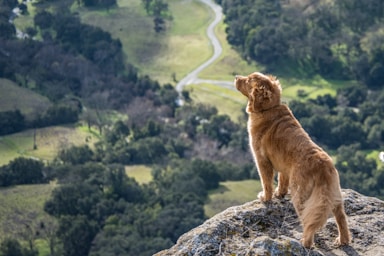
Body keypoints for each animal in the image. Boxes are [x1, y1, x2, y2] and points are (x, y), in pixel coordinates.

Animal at [234, 72, 352, 248]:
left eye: (248, 80)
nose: (236, 77)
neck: (269, 108)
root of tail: (323, 165)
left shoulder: (262, 160)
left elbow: (266, 182)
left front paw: (266, 197)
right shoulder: (283, 165)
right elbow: (282, 180)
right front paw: (279, 194)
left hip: (300, 195)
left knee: (310, 221)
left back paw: (306, 242)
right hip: (334, 196)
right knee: (341, 218)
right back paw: (343, 240)